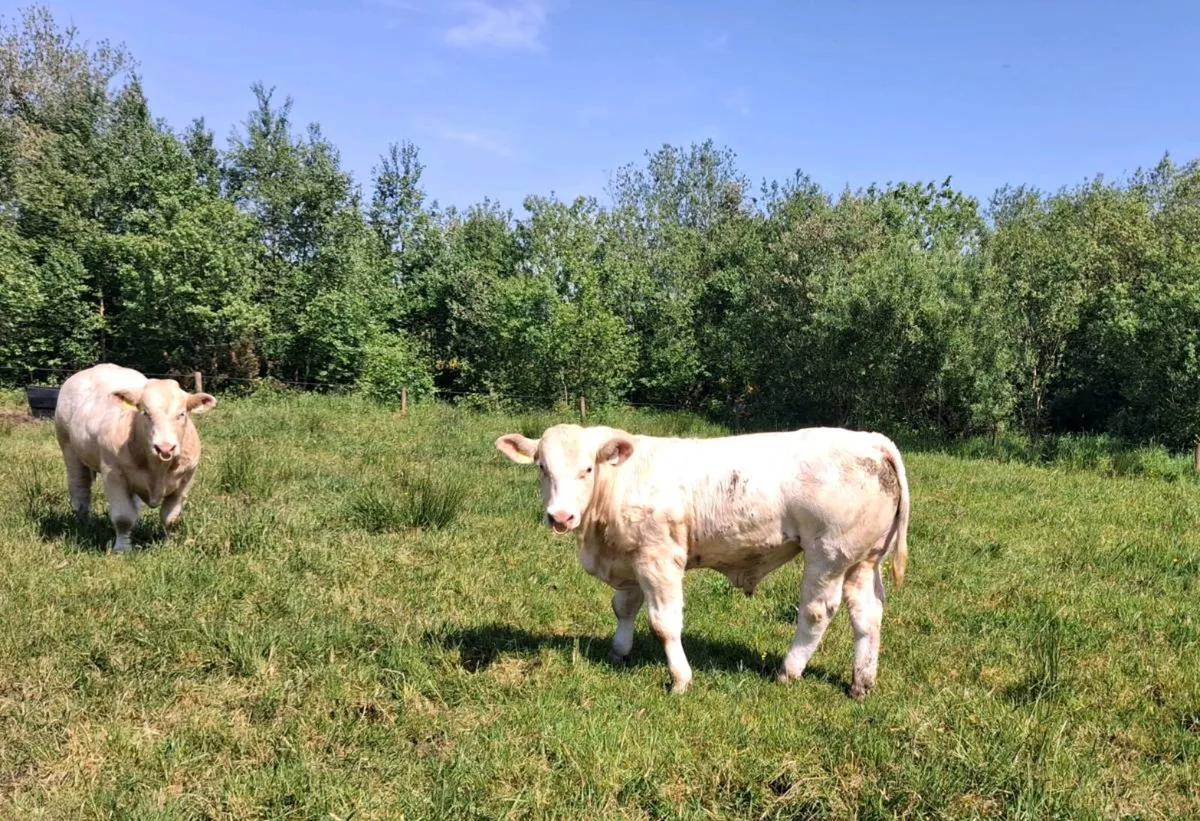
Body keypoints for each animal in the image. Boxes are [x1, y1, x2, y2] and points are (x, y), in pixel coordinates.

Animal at [54, 364, 217, 552]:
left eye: (182, 414)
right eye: (145, 412)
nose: (165, 448)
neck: (158, 468)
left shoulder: (186, 479)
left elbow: (171, 518)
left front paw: (170, 545)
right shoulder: (113, 474)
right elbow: (123, 518)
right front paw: (122, 548)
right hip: (69, 449)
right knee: (80, 489)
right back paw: (84, 523)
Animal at [495, 424, 910, 697]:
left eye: (587, 469)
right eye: (542, 467)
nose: (560, 517)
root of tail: (871, 440)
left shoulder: (659, 559)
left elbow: (664, 624)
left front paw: (680, 679)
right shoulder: (631, 558)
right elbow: (623, 607)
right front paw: (618, 651)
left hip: (829, 555)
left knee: (817, 611)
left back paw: (788, 670)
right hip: (863, 560)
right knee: (868, 614)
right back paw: (860, 682)